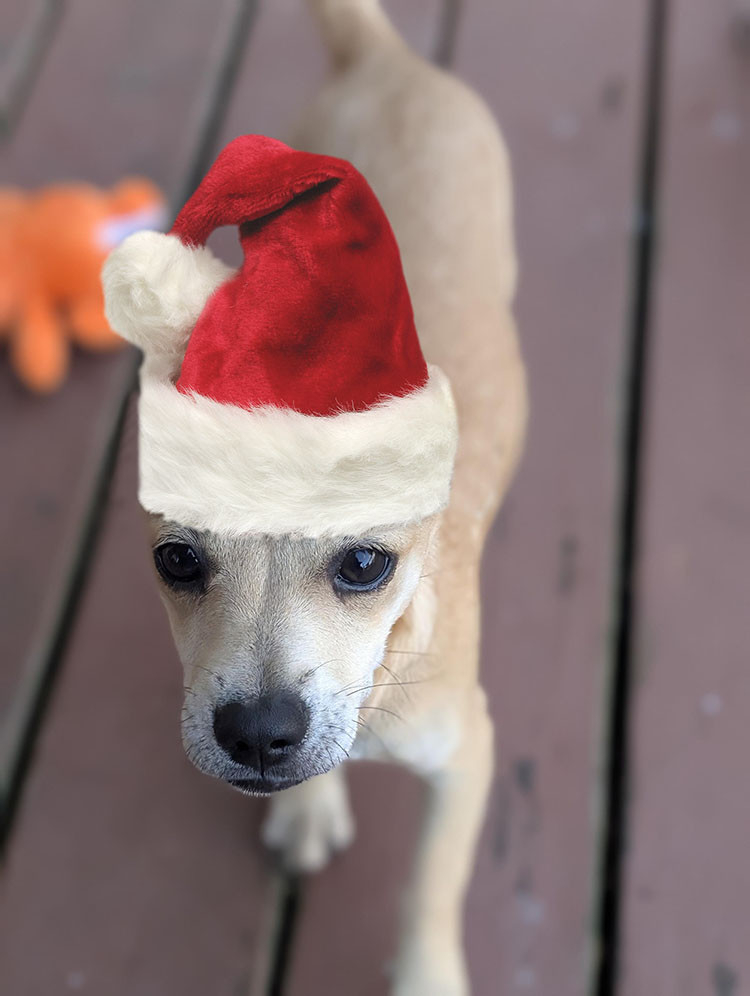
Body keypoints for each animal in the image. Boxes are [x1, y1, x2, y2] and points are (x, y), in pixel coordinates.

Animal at [106, 3, 528, 992]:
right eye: (176, 559)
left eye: (366, 563)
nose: (259, 734)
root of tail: (386, 58)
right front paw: (305, 809)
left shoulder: (469, 753)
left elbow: (433, 884)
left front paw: (427, 975)